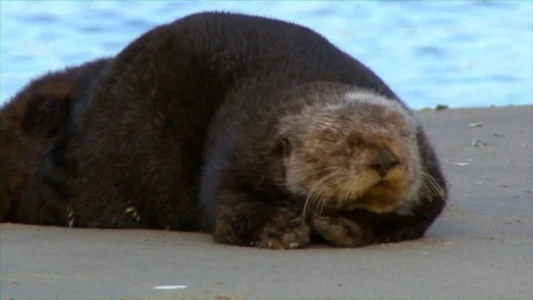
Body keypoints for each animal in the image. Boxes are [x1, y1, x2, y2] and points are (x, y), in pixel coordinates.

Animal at [16, 11, 446, 248]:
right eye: (340, 140)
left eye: (401, 136)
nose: (386, 159)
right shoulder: (238, 146)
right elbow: (227, 206)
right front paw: (279, 230)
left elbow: (414, 218)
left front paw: (345, 223)